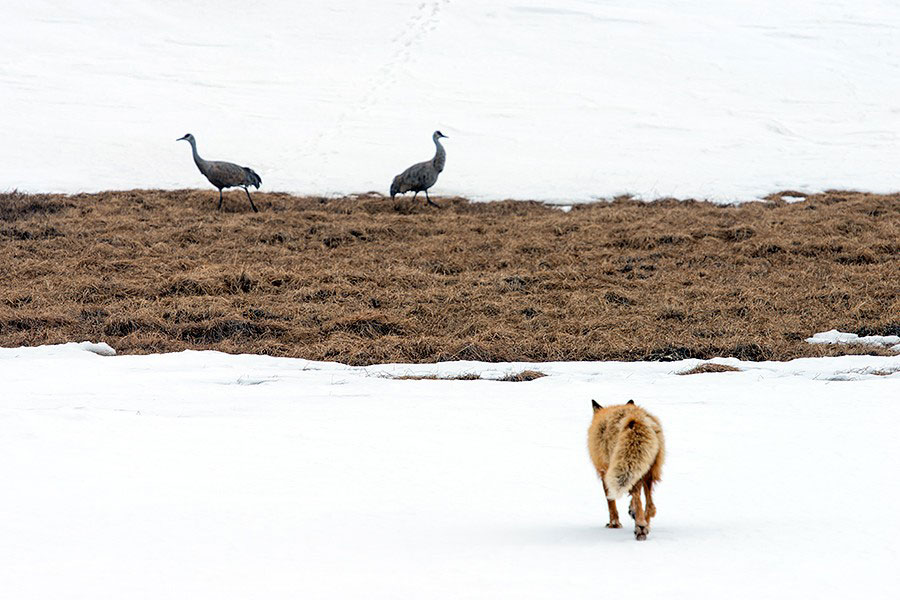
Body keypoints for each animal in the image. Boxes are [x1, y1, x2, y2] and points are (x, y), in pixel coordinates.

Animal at [587, 399, 665, 540]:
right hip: (647, 470)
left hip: (627, 466)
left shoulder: (605, 472)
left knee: (638, 497)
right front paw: (631, 510)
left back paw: (640, 527)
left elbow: (610, 502)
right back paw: (644, 525)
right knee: (651, 506)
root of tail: (635, 418)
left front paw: (614, 524)